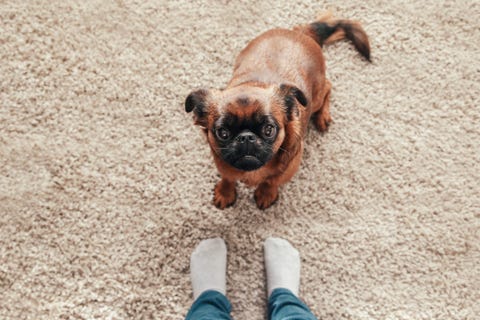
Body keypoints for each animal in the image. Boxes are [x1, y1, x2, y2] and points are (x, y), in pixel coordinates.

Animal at [186, 11, 370, 210]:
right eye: (223, 133)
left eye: (269, 130)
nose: (246, 137)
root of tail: (301, 32)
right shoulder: (222, 162)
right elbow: (228, 176)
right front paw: (225, 192)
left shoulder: (290, 166)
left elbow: (271, 180)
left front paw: (266, 193)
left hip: (317, 95)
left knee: (328, 87)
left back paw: (322, 116)